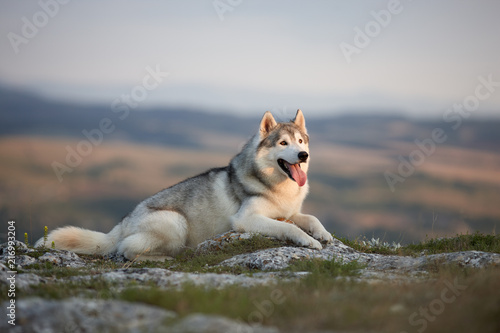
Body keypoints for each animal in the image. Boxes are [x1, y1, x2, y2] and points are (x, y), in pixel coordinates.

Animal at [37, 110, 334, 260]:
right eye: (283, 143)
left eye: (301, 141)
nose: (303, 155)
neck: (278, 187)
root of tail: (123, 222)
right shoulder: (246, 219)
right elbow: (287, 227)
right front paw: (308, 241)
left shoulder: (292, 211)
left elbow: (310, 217)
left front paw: (323, 234)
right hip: (175, 222)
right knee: (126, 250)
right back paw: (163, 257)